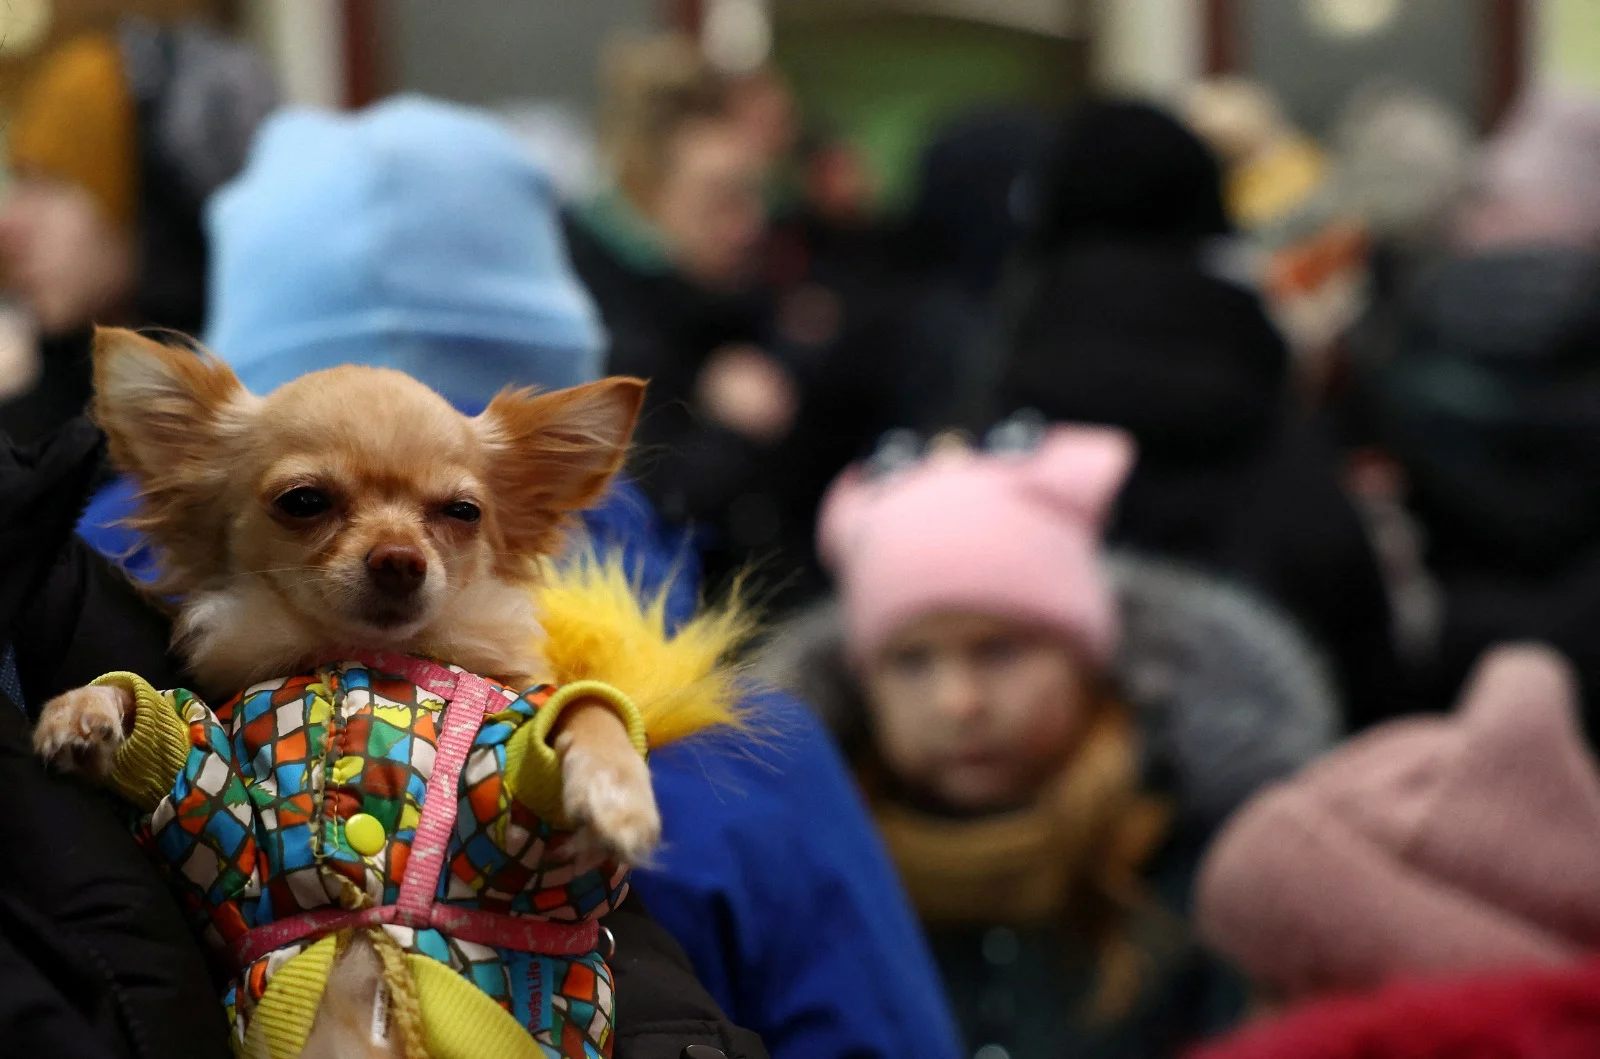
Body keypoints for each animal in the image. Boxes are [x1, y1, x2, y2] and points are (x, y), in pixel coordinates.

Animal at [40, 327, 659, 1055]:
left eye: (464, 512)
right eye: (304, 501)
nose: (400, 558)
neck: (364, 661)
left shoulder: (521, 859)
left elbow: (583, 714)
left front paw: (616, 791)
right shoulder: (229, 830)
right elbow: (191, 779)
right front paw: (92, 709)